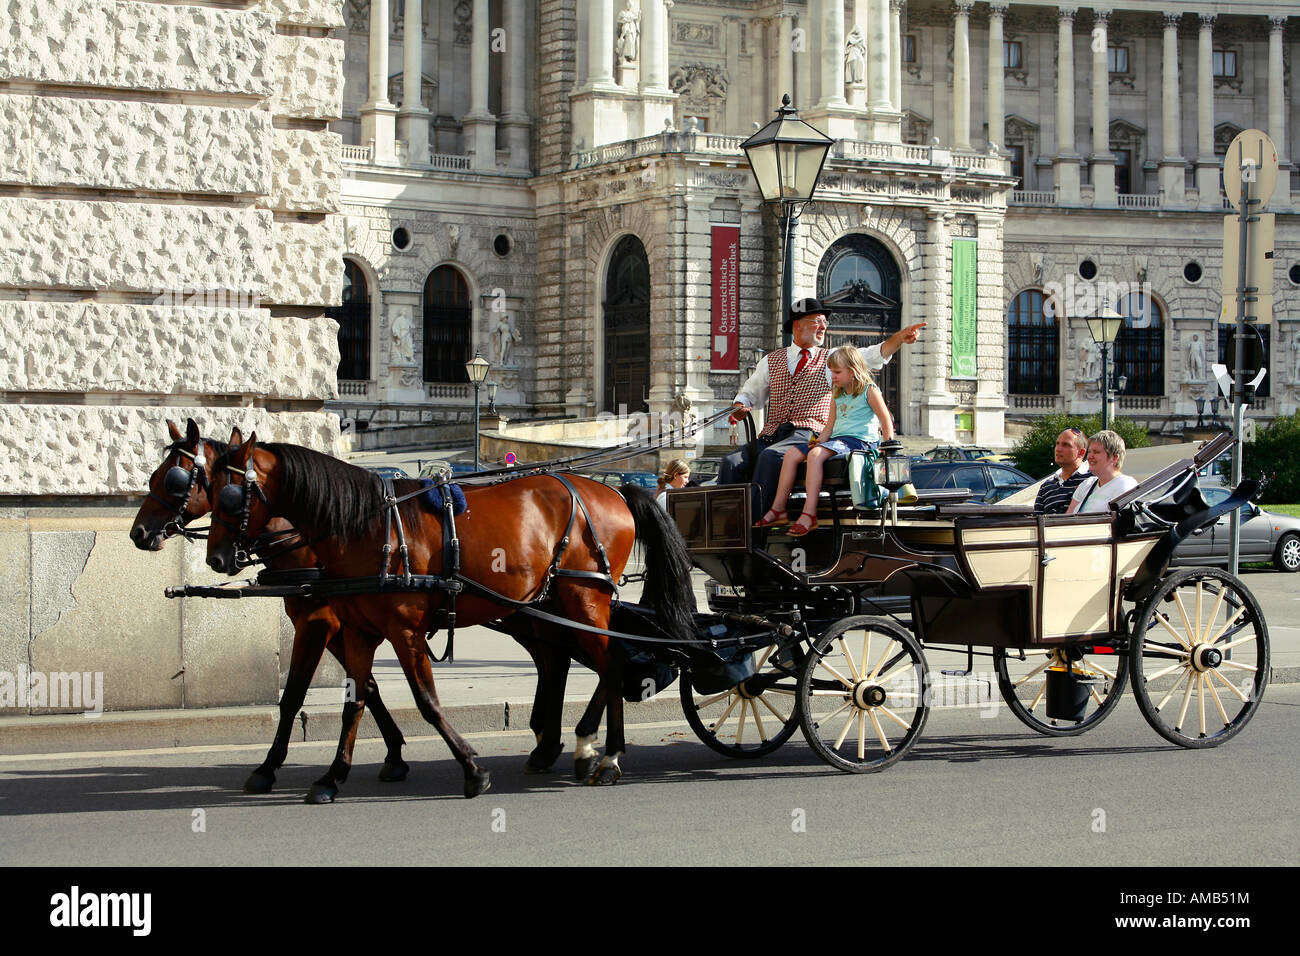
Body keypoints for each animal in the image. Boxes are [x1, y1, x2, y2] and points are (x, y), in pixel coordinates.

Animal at [126, 421, 410, 796]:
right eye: (154, 476)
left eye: (173, 479)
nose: (139, 532)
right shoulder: (337, 627)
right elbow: (367, 687)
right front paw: (394, 753)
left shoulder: (317, 623)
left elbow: (293, 695)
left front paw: (268, 766)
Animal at [204, 429, 696, 796]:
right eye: (204, 487)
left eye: (229, 495)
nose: (216, 559)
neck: (367, 527)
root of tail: (613, 490)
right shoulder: (358, 631)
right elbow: (355, 700)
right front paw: (332, 776)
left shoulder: (399, 630)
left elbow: (426, 701)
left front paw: (472, 769)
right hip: (550, 606)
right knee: (572, 664)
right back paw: (571, 748)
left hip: (583, 599)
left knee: (609, 665)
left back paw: (606, 755)